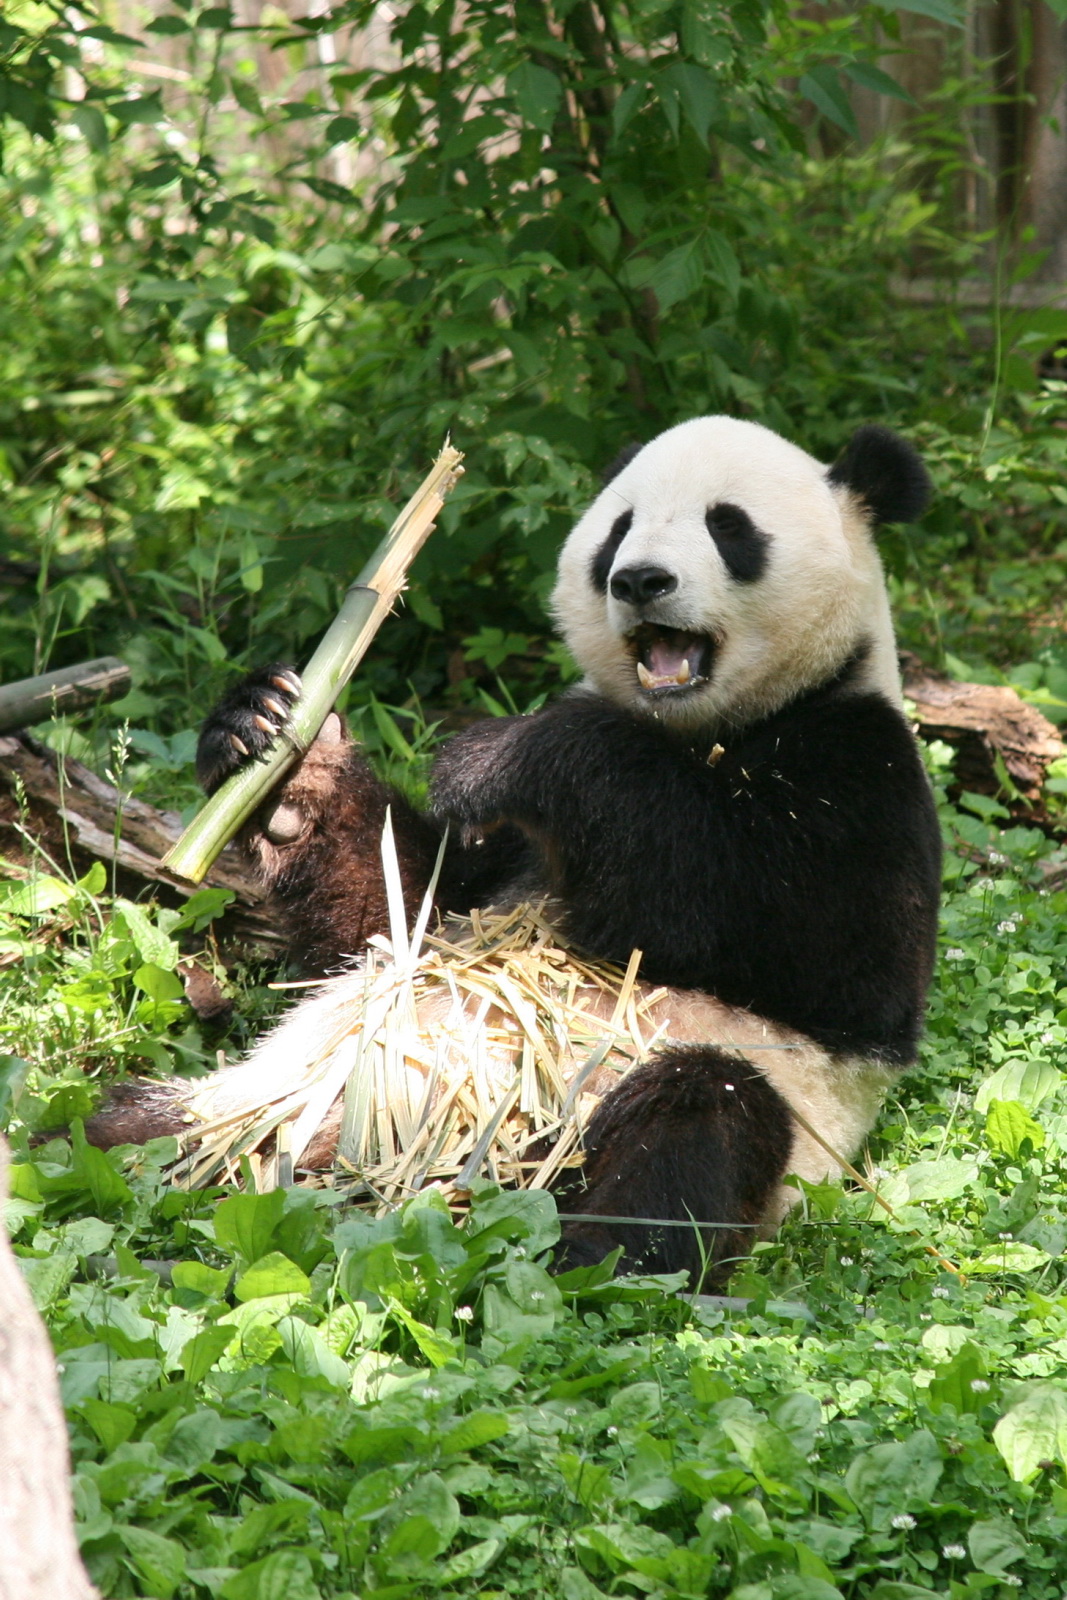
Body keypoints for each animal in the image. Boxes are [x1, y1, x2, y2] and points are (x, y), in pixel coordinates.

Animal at [91, 419, 940, 1280]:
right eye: (618, 530)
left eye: (728, 527)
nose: (640, 580)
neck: (699, 730)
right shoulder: (499, 863)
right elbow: (392, 913)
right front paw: (275, 740)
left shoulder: (861, 770)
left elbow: (774, 927)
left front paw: (498, 756)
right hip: (265, 1100)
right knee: (116, 1125)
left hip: (671, 1115)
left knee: (697, 1121)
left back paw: (596, 1258)